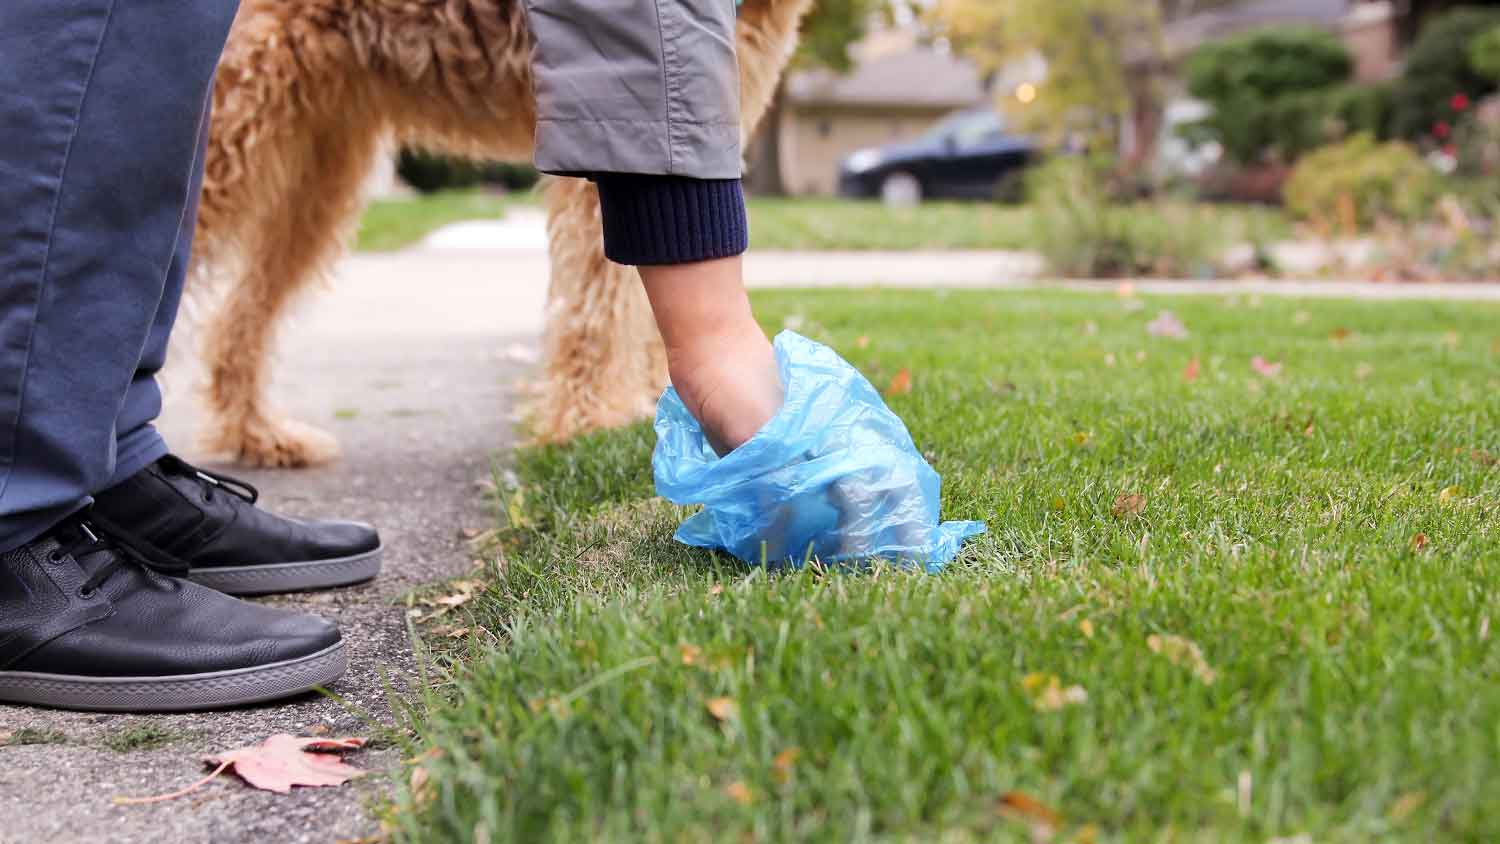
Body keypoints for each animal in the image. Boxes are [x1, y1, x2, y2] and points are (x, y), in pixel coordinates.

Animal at [192, 0, 816, 464]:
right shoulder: (612, 134)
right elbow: (600, 305)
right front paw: (590, 421)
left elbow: (640, 308)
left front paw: (646, 408)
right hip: (234, 124)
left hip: (315, 168)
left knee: (238, 319)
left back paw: (259, 436)